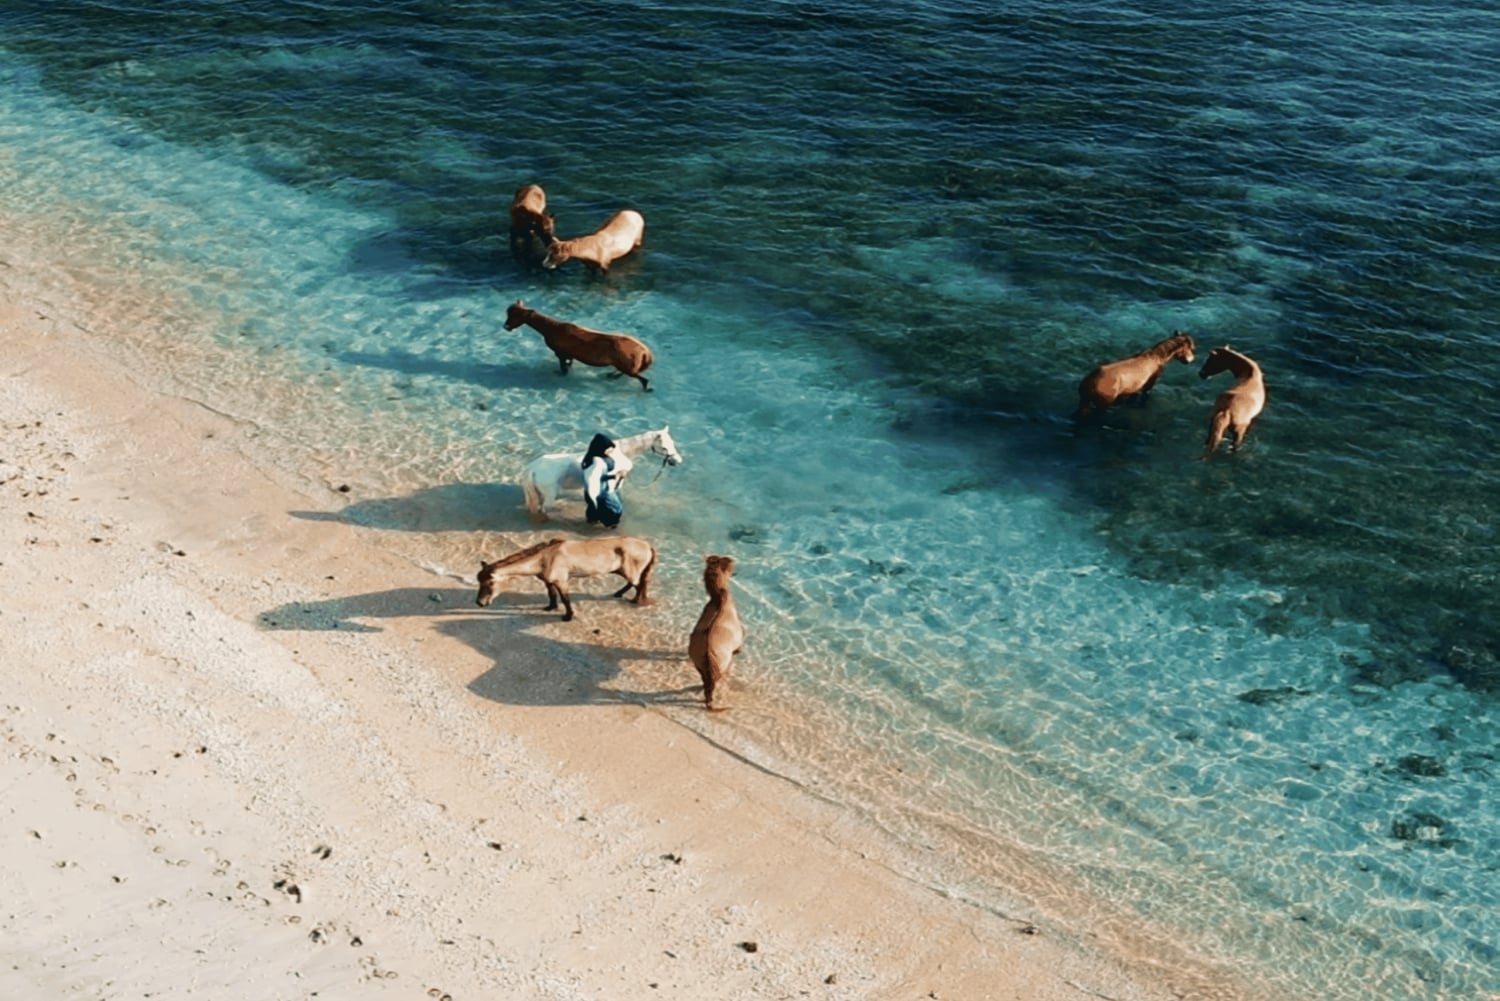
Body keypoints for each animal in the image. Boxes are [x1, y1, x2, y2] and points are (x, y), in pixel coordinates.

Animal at [475, 536, 656, 622]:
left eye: (490, 583)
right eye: (479, 581)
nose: (480, 603)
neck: (544, 557)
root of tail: (648, 546)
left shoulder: (561, 581)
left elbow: (565, 599)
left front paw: (568, 616)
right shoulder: (549, 581)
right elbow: (552, 595)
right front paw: (551, 607)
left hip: (630, 571)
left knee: (639, 585)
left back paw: (635, 601)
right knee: (633, 584)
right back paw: (619, 594)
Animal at [503, 300, 654, 391]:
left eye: (514, 316)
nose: (505, 327)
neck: (551, 328)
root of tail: (644, 351)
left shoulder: (560, 353)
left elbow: (564, 369)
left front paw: (560, 373)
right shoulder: (568, 354)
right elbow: (569, 362)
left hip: (626, 364)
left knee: (643, 379)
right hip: (624, 364)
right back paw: (612, 375)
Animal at [521, 426, 684, 522]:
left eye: (672, 443)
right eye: (664, 447)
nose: (677, 461)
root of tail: (532, 468)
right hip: (550, 494)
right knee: (543, 508)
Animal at [688, 555, 744, 711]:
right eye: (730, 566)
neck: (719, 598)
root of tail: (708, 654)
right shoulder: (739, 639)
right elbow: (739, 648)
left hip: (699, 663)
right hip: (721, 664)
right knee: (712, 685)